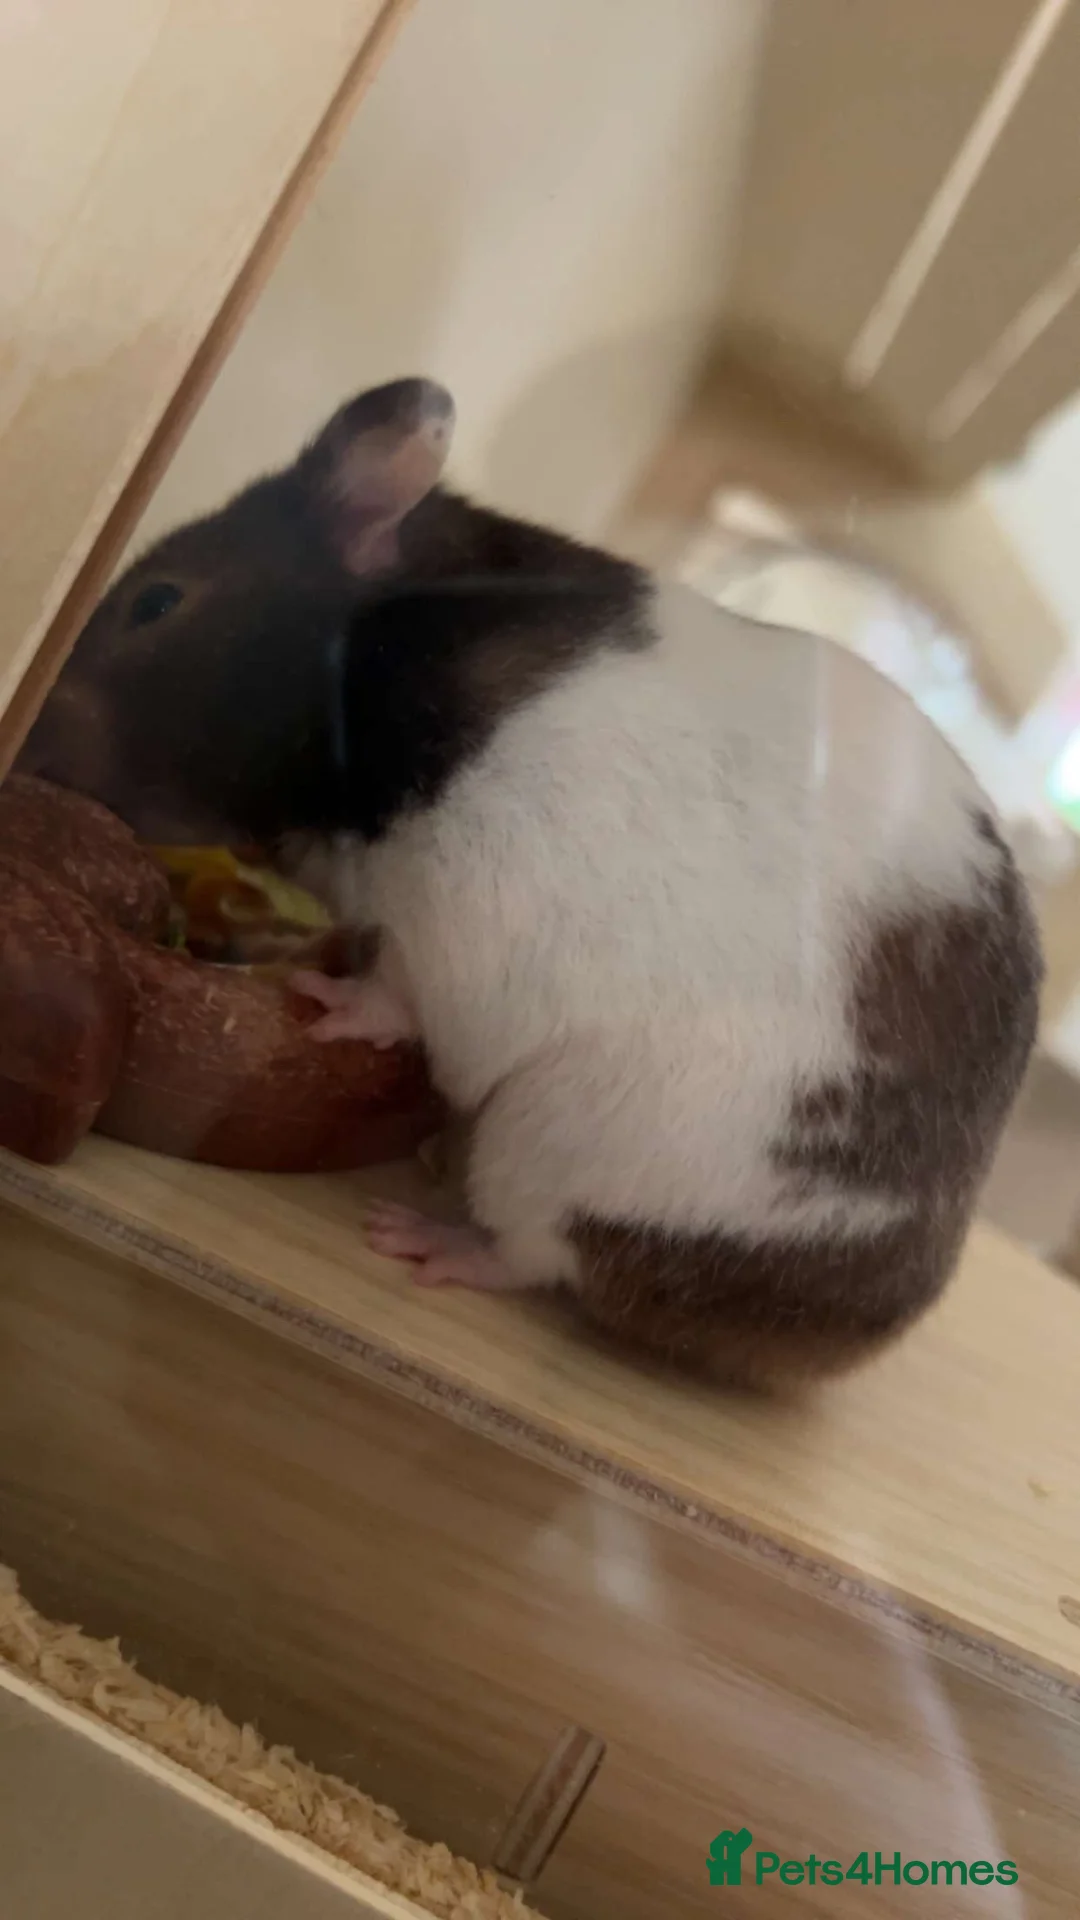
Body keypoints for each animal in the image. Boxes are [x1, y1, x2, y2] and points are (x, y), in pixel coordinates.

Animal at [22, 378, 1042, 1388]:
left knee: (535, 1254)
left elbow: (398, 994)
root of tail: (849, 1335)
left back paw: (414, 1238)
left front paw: (323, 1001)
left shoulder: (470, 919)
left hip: (561, 1146)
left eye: (155, 603)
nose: (25, 745)